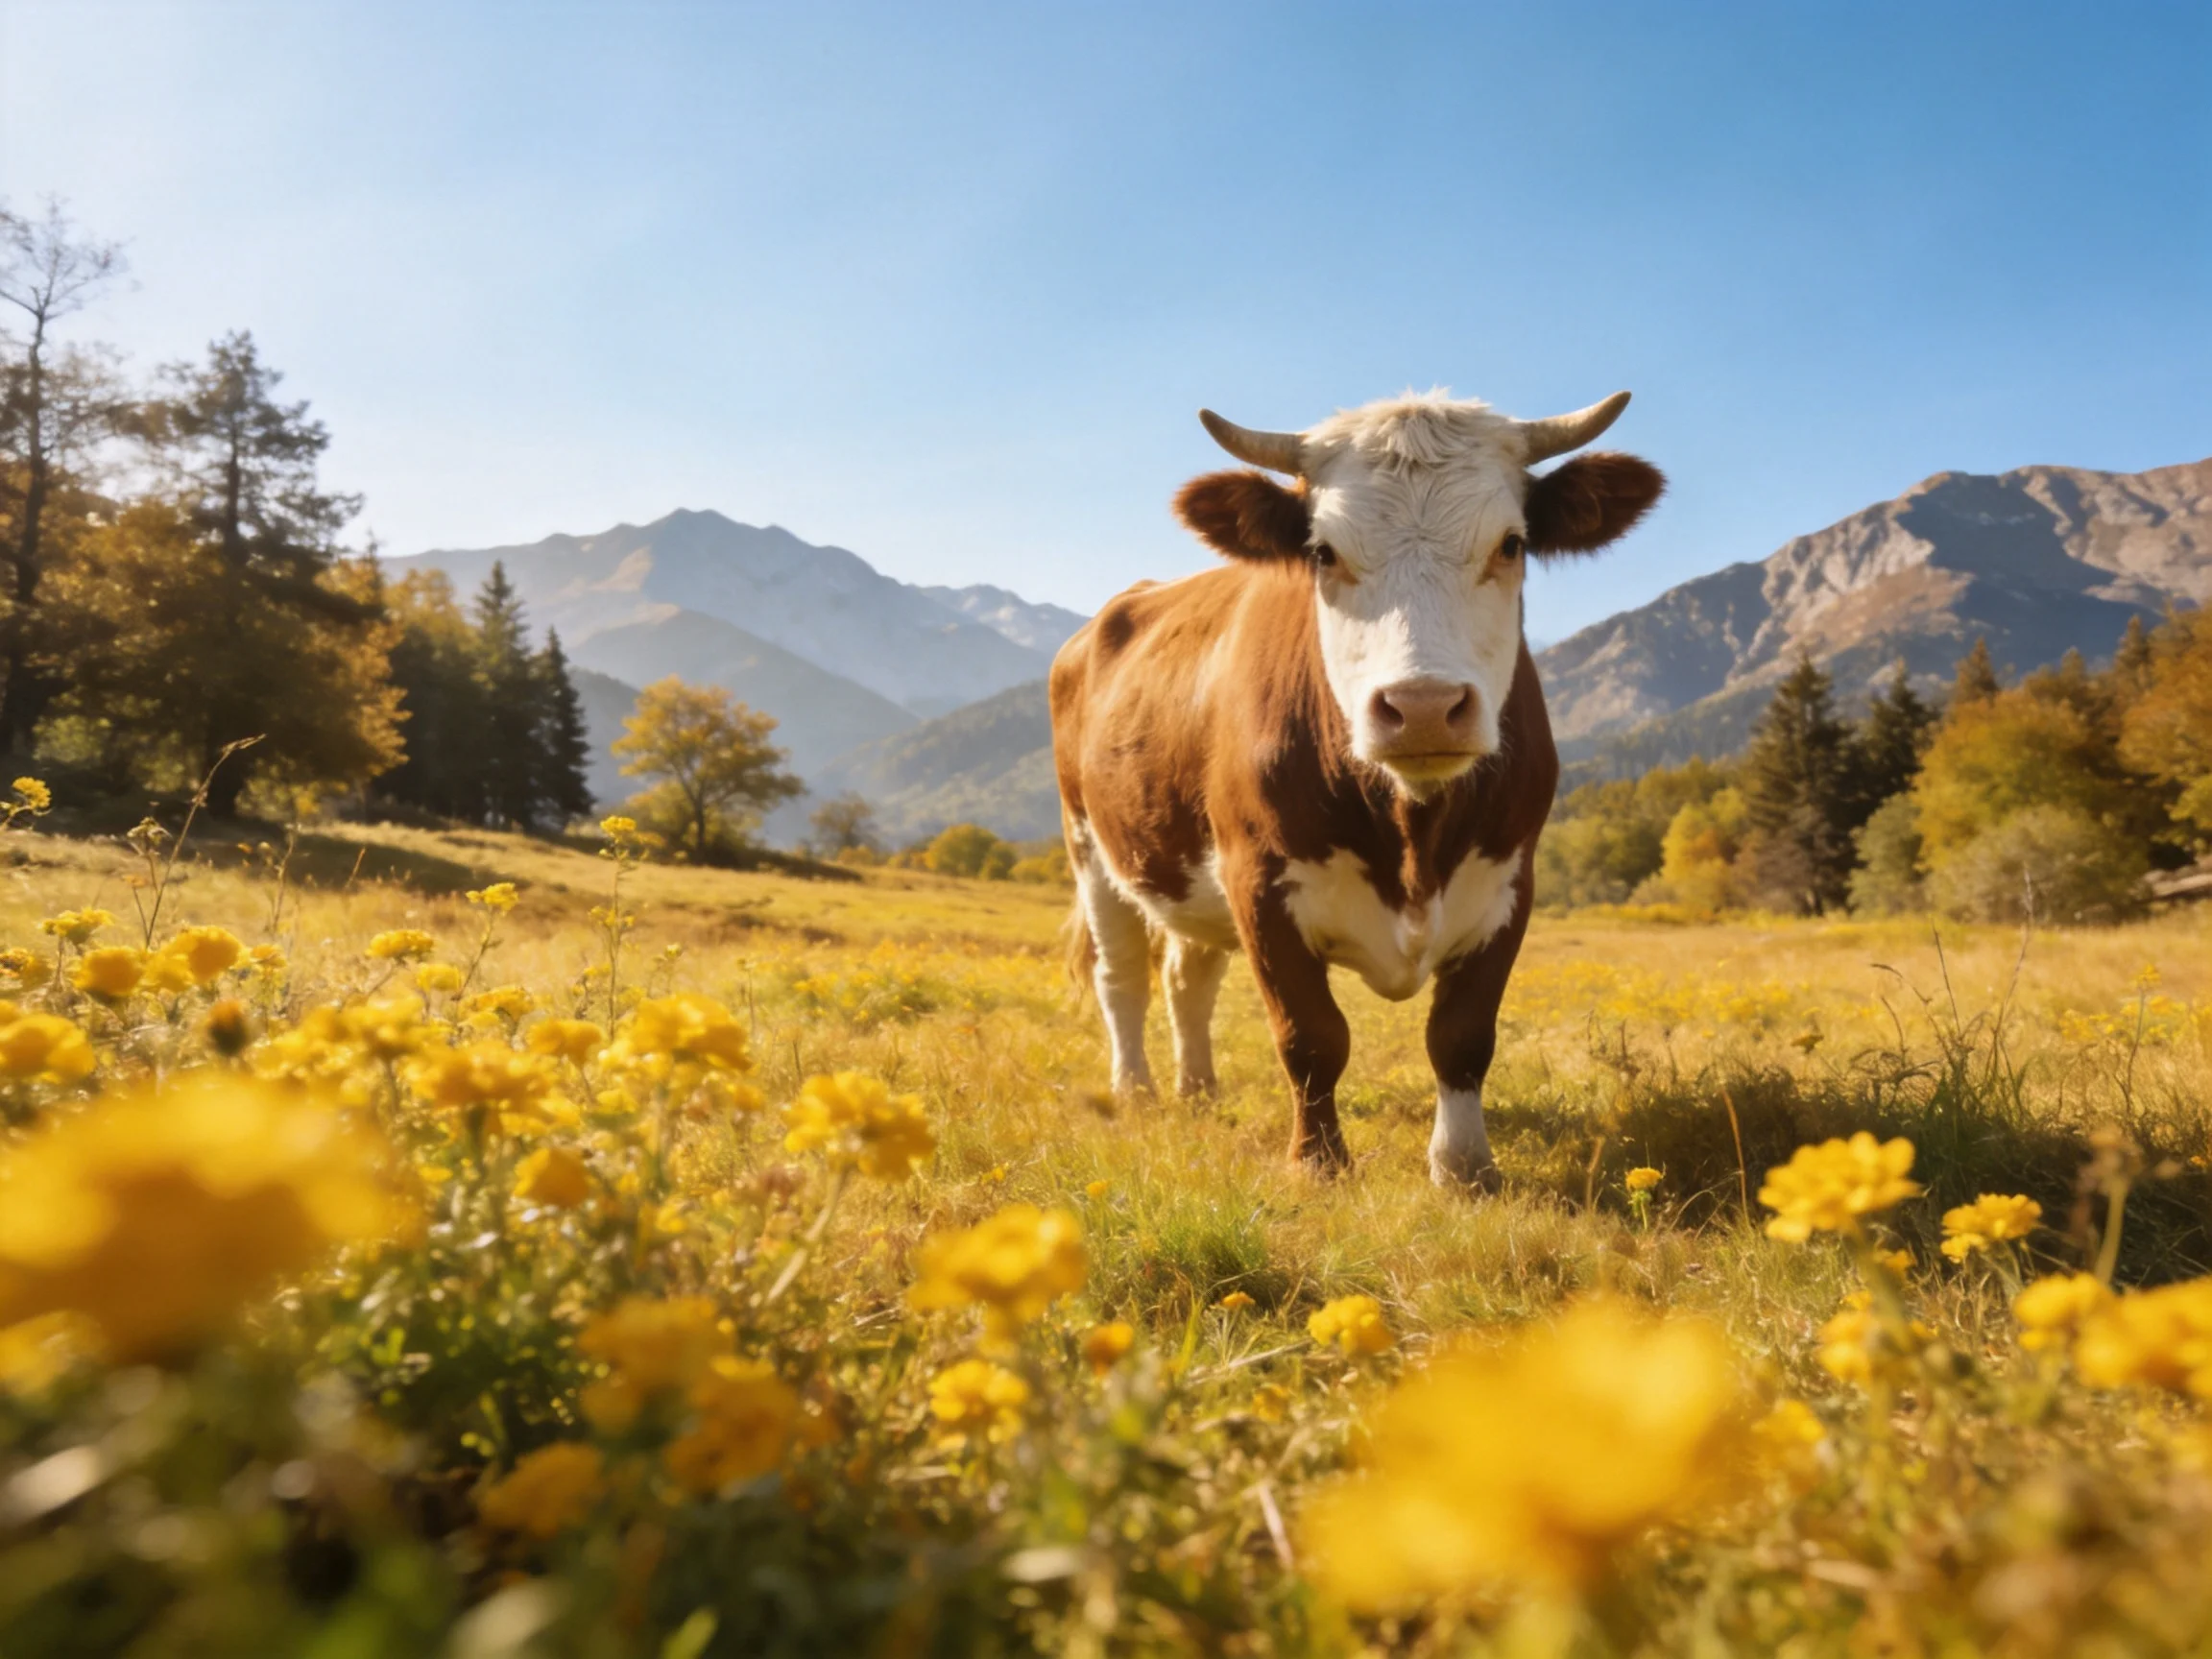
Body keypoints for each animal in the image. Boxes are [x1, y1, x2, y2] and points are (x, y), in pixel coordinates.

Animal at [1049, 389, 1663, 1188]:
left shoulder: (1510, 881)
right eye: (1323, 552)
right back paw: (1138, 1091)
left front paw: (1464, 1168)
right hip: (1091, 848)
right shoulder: (1257, 881)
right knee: (1121, 974)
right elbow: (1311, 1036)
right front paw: (1317, 1163)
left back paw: (1200, 1090)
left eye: (1511, 544)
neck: (1412, 831)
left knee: (1190, 976)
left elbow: (1462, 1035)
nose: (1424, 705)